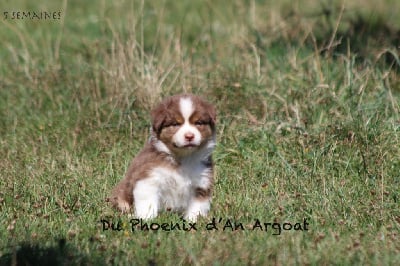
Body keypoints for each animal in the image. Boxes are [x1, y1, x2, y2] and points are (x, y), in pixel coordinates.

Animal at [109, 92, 217, 221]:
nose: (189, 136)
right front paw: (146, 219)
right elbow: (147, 203)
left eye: (198, 123)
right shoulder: (149, 179)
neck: (183, 158)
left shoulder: (201, 184)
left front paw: (193, 220)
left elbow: (197, 207)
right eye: (175, 124)